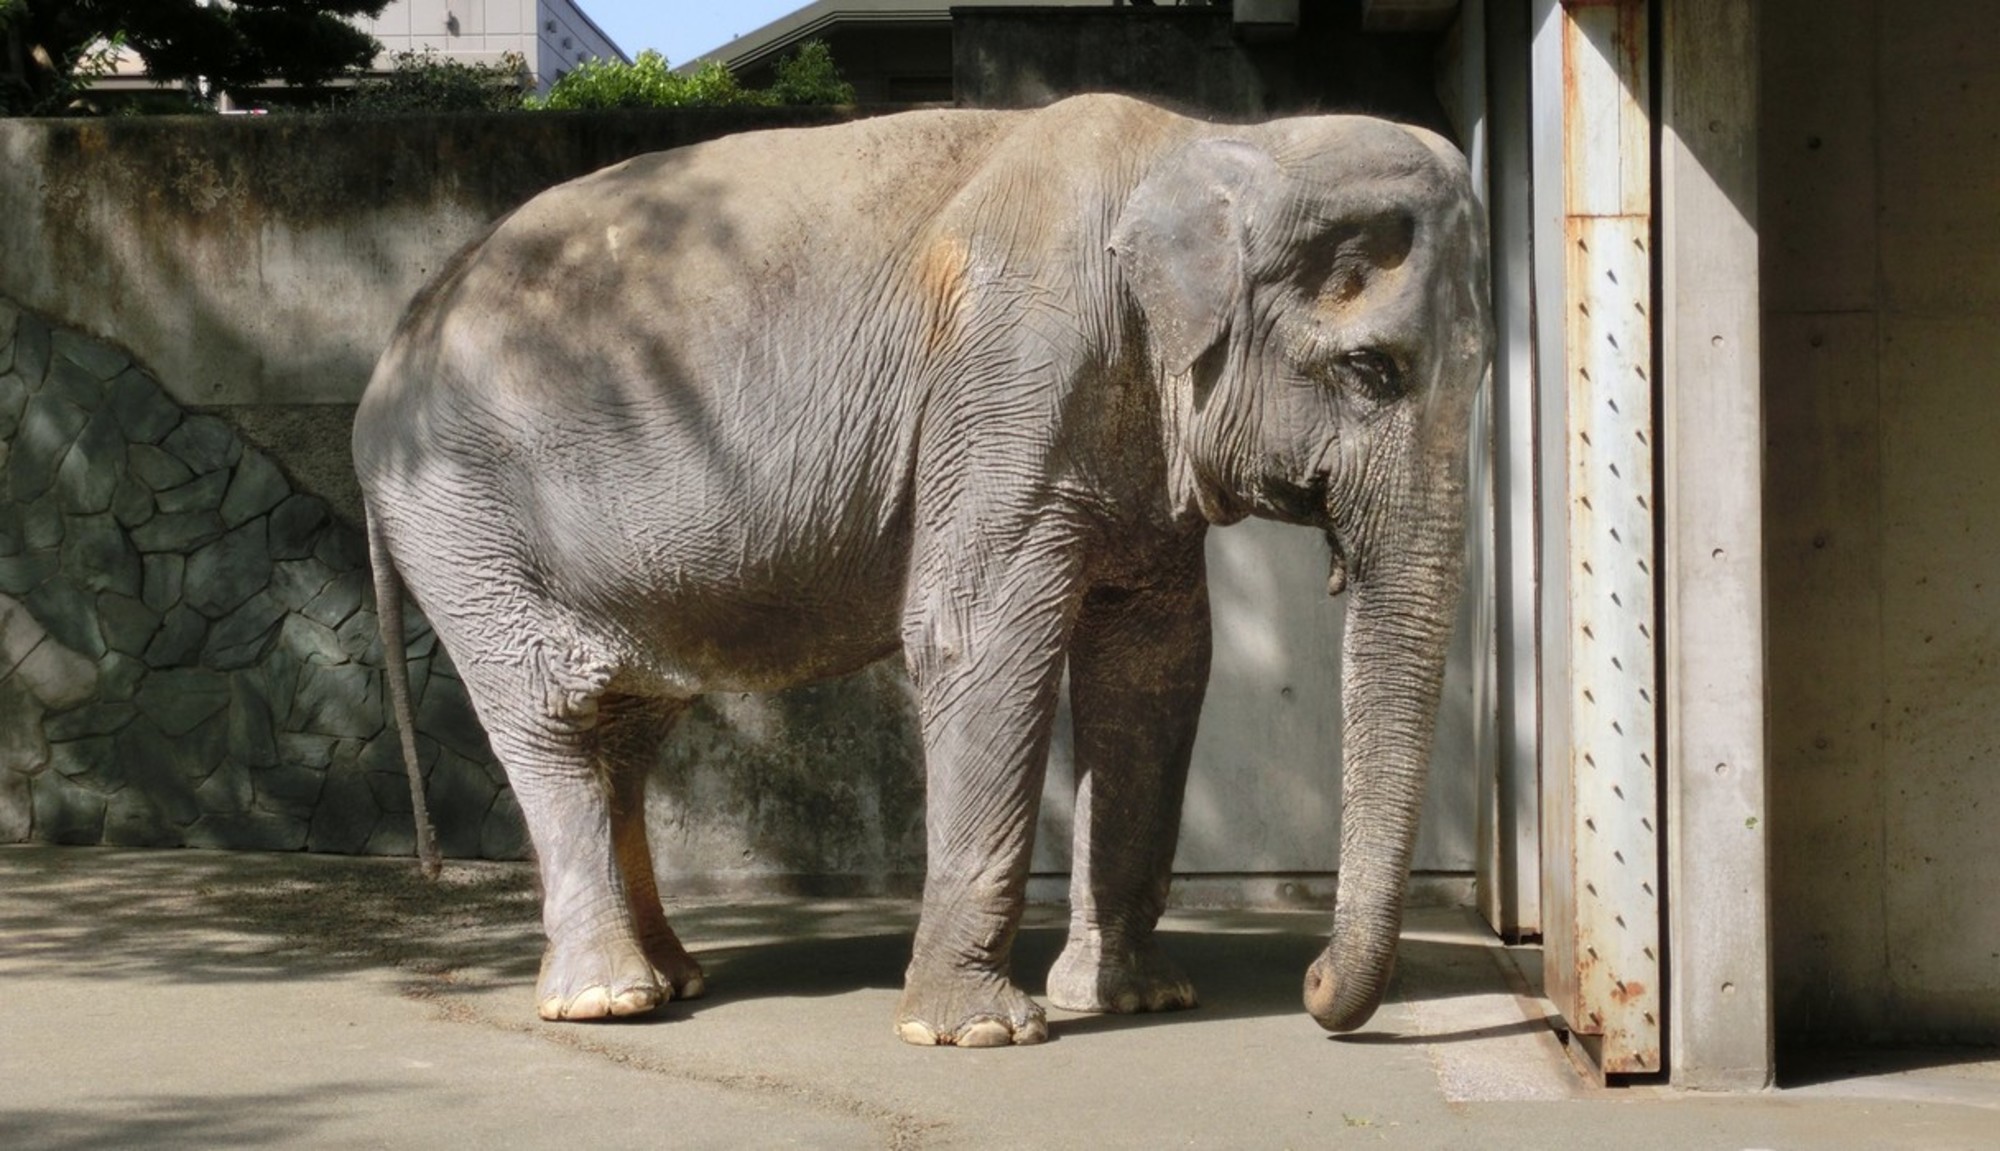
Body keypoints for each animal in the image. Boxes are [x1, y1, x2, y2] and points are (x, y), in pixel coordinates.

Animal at [354, 92, 1491, 1047]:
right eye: (1370, 370)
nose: (1312, 986)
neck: (1211, 140)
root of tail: (396, 338)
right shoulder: (1008, 375)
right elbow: (978, 639)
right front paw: (977, 1031)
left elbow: (1156, 666)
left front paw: (1134, 999)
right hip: (463, 519)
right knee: (550, 710)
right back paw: (610, 999)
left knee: (624, 728)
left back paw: (675, 978)